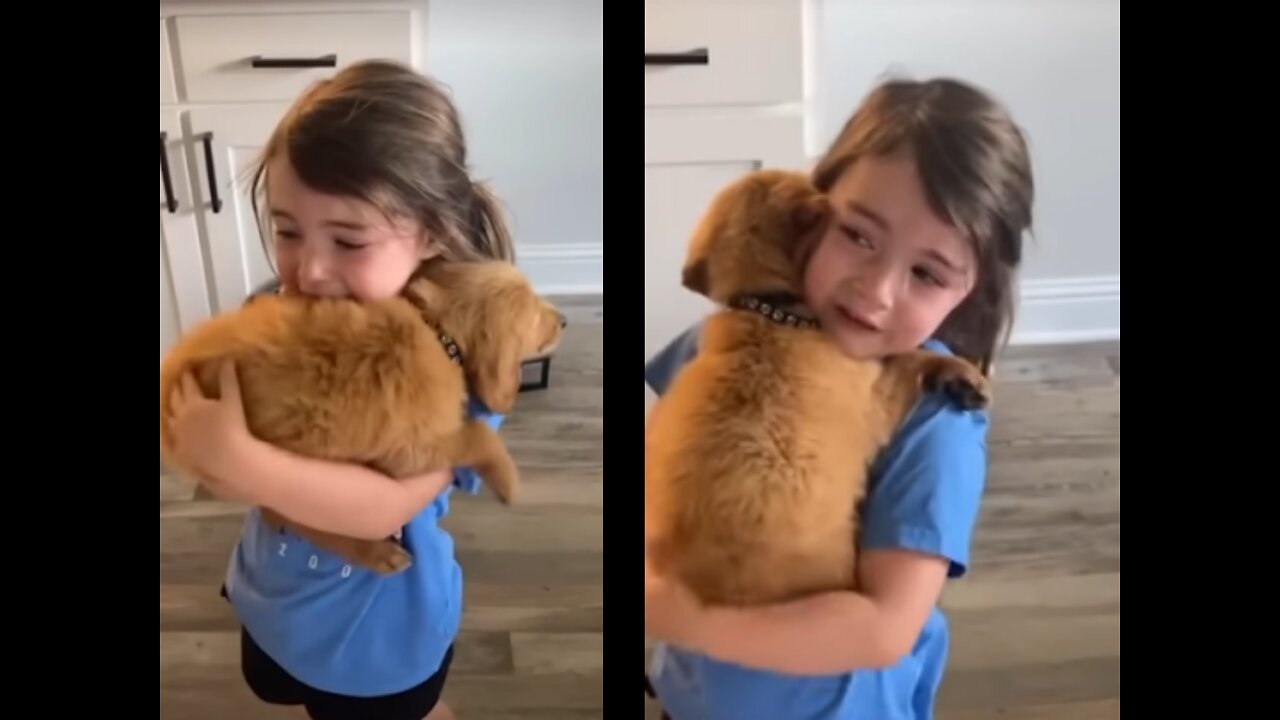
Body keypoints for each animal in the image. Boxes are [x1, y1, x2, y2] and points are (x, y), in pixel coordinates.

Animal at [157, 257, 563, 571]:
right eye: (534, 312)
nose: (563, 321)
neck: (440, 334)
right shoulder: (410, 452)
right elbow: (478, 431)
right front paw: (508, 480)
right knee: (291, 517)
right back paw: (378, 554)